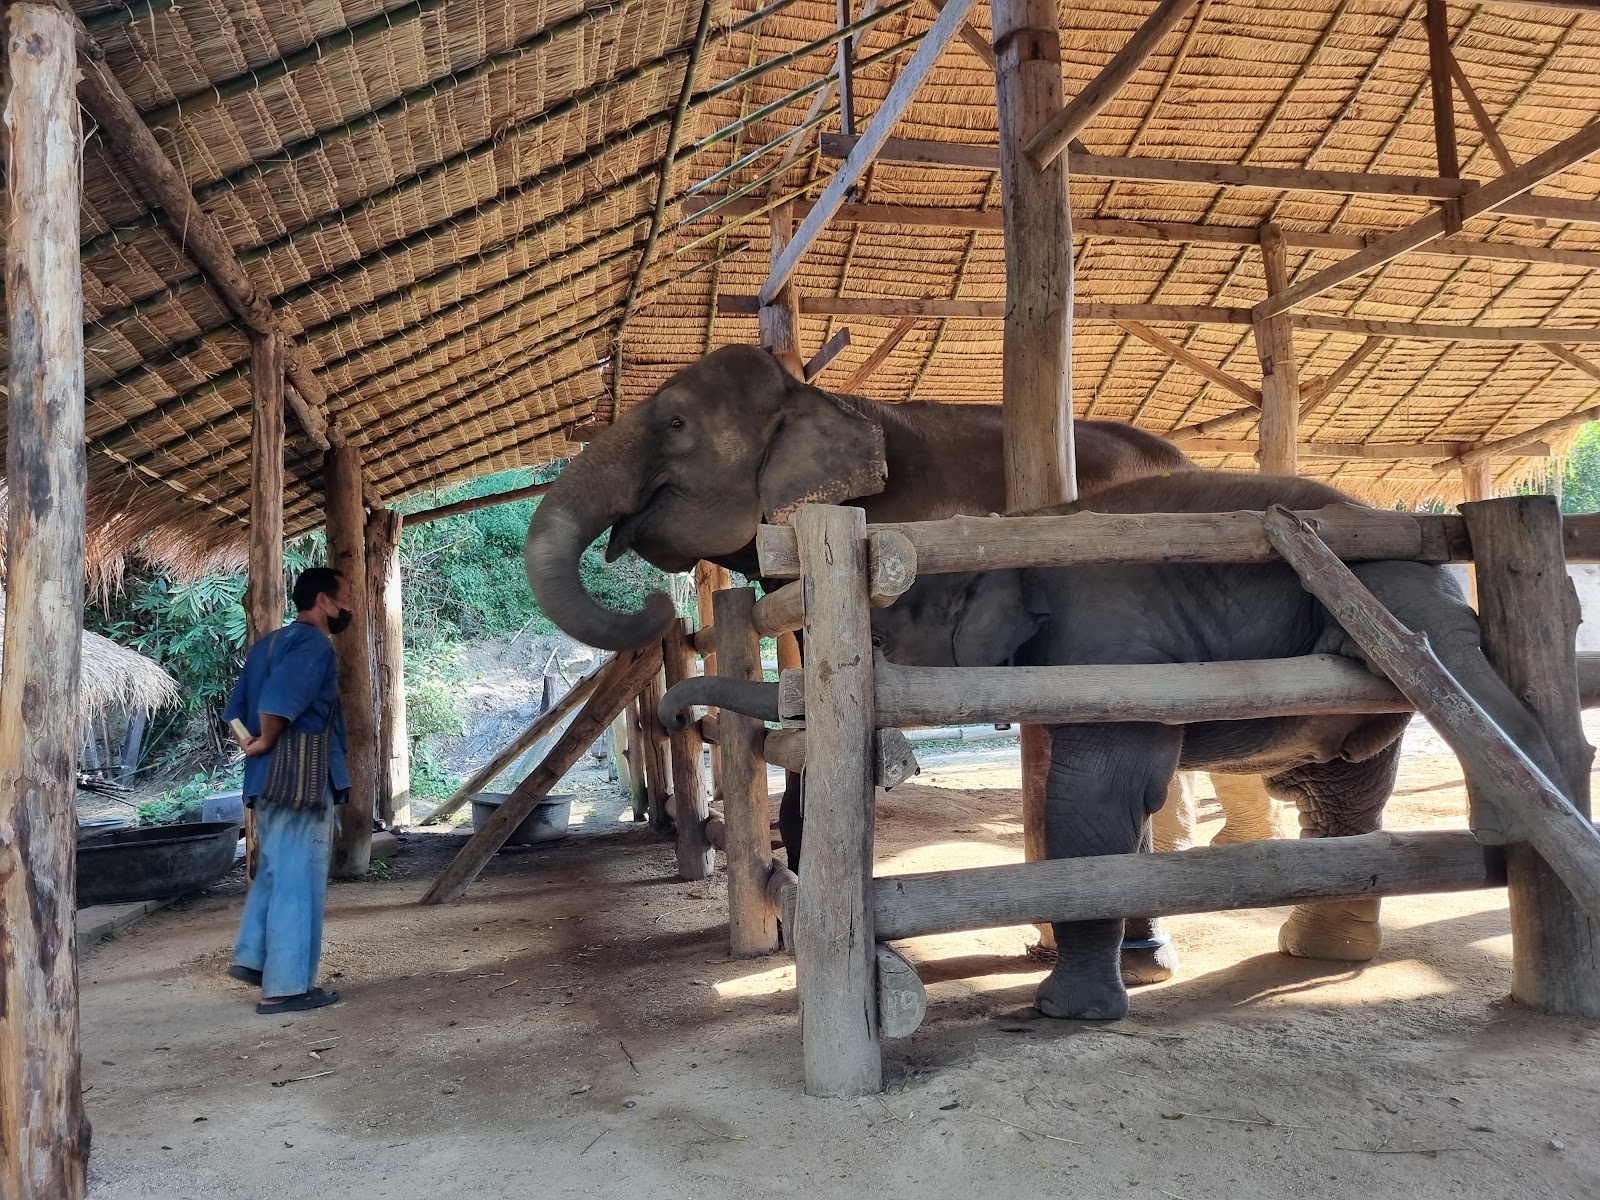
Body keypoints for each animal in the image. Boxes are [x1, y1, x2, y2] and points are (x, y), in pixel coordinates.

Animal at [664, 470, 1566, 1020]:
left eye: (875, 638)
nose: (672, 715)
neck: (1012, 531)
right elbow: (1129, 812)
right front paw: (1134, 970)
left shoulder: (1110, 648)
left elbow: (1094, 802)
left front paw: (1065, 1011)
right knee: (1346, 791)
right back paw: (1321, 949)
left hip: (1392, 605)